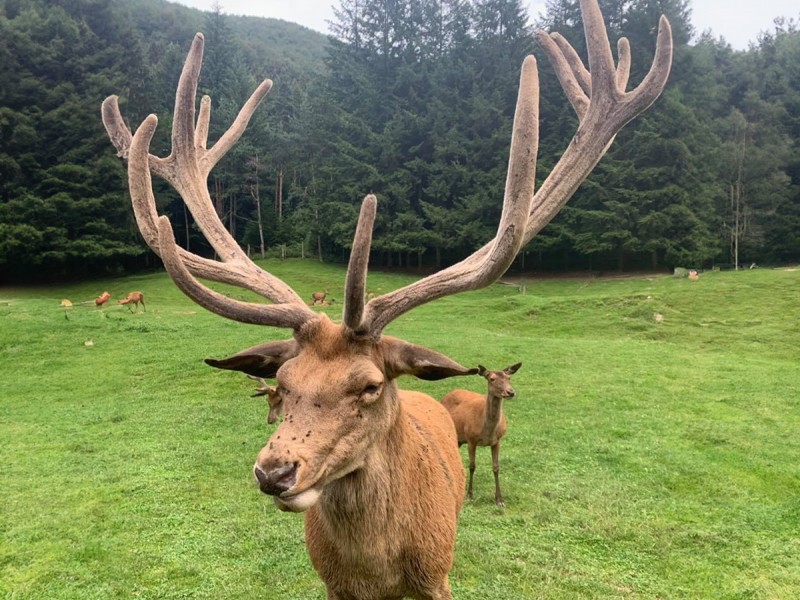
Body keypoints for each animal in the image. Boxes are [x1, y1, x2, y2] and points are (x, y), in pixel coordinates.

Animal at [441, 363, 521, 507]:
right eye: (492, 379)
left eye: (509, 378)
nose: (510, 392)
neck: (487, 431)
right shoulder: (471, 439)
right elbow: (472, 466)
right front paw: (469, 495)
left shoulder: (497, 441)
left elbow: (496, 467)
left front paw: (499, 499)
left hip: (459, 439)